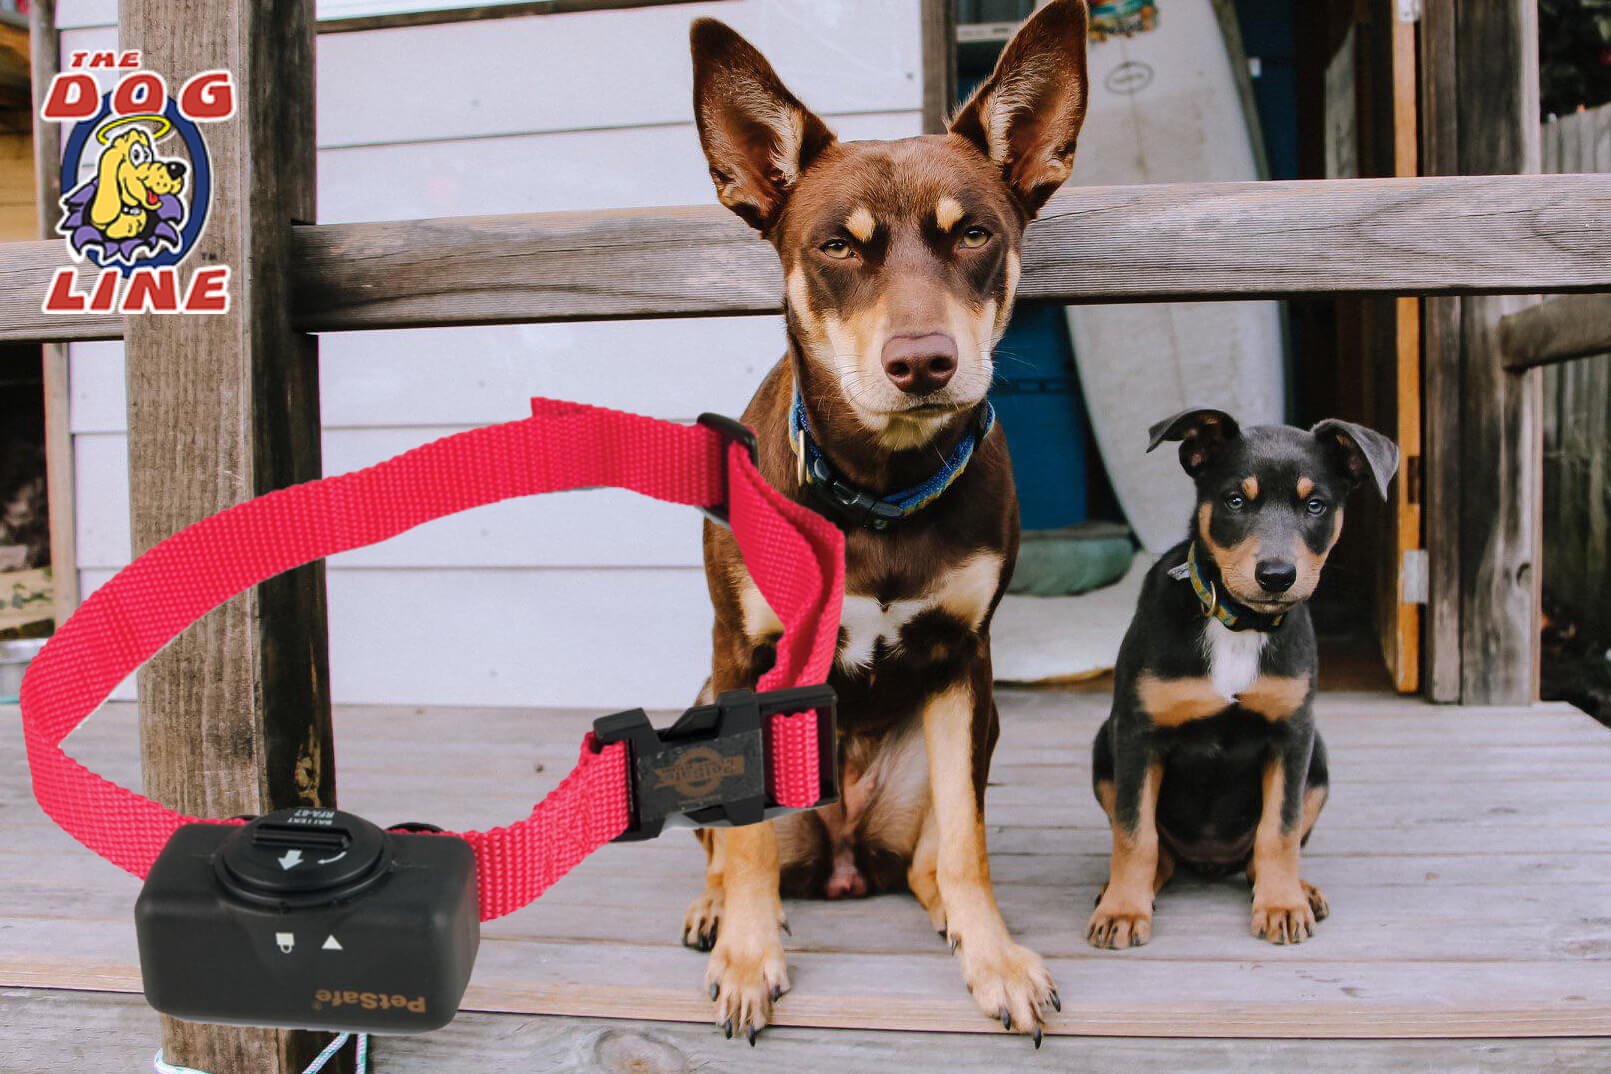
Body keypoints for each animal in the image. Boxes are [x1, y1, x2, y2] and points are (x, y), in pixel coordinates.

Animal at [683, 0, 1095, 1043]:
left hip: (972, 732)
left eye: (974, 234)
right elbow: (746, 845)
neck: (876, 483)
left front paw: (995, 959)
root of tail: (841, 854)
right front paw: (748, 955)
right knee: (729, 846)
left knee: (930, 854)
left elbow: (969, 844)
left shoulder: (959, 660)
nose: (922, 363)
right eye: (837, 247)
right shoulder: (743, 656)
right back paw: (715, 910)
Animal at [1095, 408, 1398, 946]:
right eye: (1236, 500)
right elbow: (1134, 832)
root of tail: (1210, 861)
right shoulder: (1136, 732)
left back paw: (1300, 890)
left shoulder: (1292, 735)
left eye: (1316, 505)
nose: (1276, 576)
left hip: (1319, 759)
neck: (1237, 623)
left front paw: (1281, 904)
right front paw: (1123, 910)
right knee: (1160, 851)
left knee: (1259, 850)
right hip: (1101, 745)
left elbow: (1279, 830)